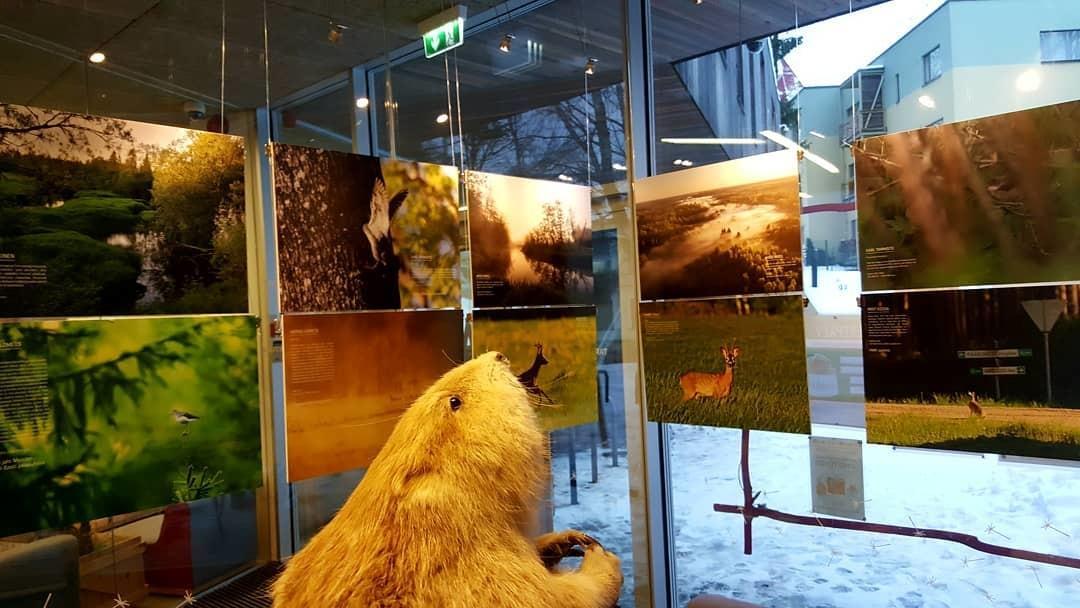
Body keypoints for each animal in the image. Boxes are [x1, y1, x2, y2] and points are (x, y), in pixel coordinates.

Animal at [272, 352, 626, 608]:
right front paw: (601, 557)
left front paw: (565, 540)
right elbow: (557, 598)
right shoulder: (472, 567)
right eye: (455, 401)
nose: (498, 356)